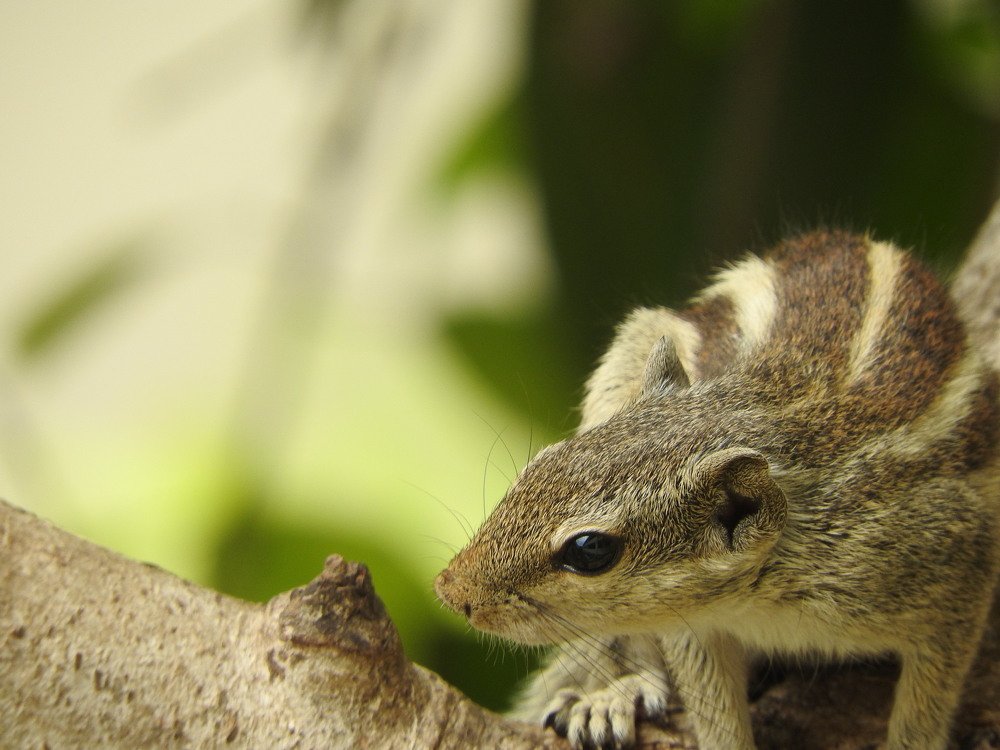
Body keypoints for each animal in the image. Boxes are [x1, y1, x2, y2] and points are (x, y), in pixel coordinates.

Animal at [435, 230, 1000, 750]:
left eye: (590, 549)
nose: (449, 590)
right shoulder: (688, 621)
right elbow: (714, 709)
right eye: (541, 463)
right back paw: (615, 692)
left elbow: (925, 711)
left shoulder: (952, 569)